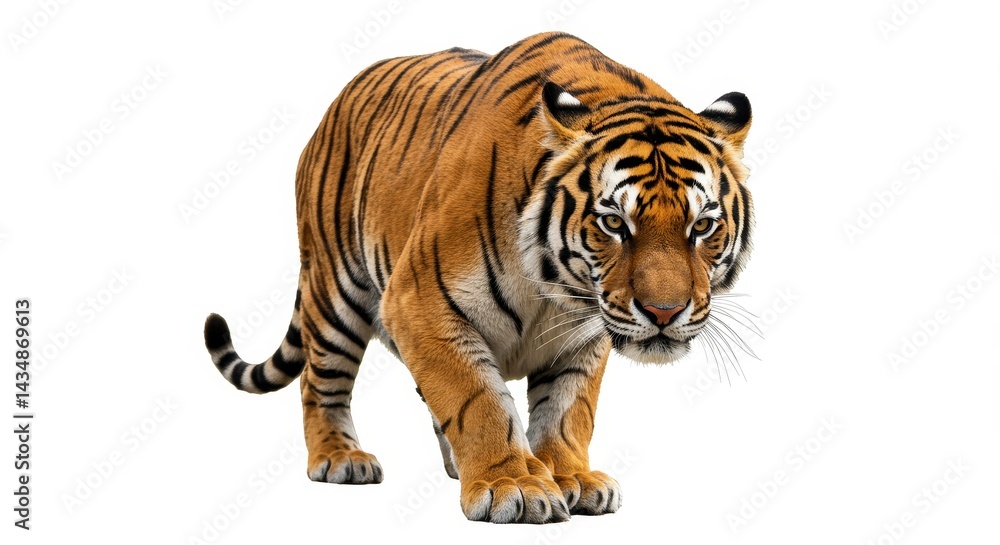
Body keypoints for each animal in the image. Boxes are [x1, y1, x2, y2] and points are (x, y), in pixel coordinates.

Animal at [202, 31, 754, 524]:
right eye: (615, 223)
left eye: (702, 226)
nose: (664, 312)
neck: (555, 288)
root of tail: (335, 105)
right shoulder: (418, 302)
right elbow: (478, 398)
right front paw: (514, 485)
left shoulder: (583, 337)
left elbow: (568, 409)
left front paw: (570, 476)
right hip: (334, 291)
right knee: (320, 382)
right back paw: (340, 457)